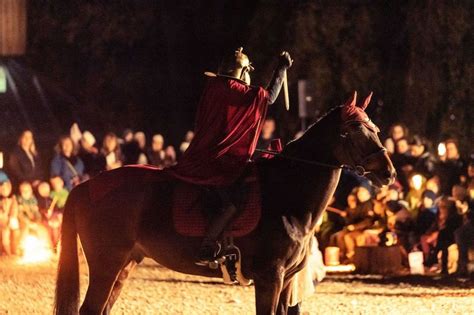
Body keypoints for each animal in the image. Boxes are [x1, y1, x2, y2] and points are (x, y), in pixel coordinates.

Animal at [54, 92, 396, 315]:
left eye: (375, 129)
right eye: (353, 130)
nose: (388, 173)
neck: (286, 193)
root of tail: (85, 186)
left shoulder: (286, 282)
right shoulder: (270, 278)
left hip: (125, 264)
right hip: (107, 263)